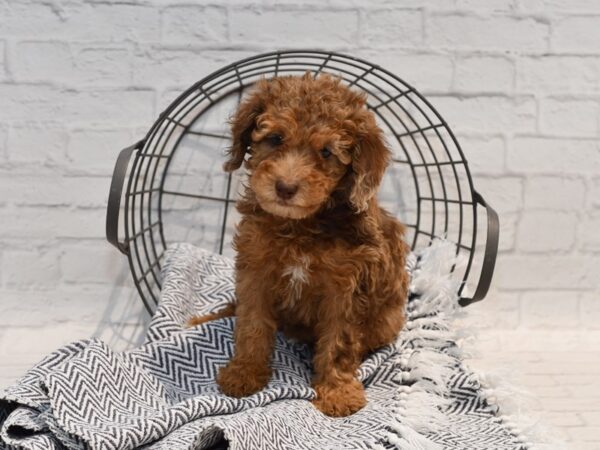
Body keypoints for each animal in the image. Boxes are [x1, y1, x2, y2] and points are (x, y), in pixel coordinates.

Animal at [190, 72, 410, 416]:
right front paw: (244, 372)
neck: (300, 225)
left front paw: (337, 391)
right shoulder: (255, 268)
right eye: (275, 138)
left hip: (388, 319)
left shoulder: (348, 288)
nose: (285, 187)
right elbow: (251, 323)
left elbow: (339, 341)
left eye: (326, 153)